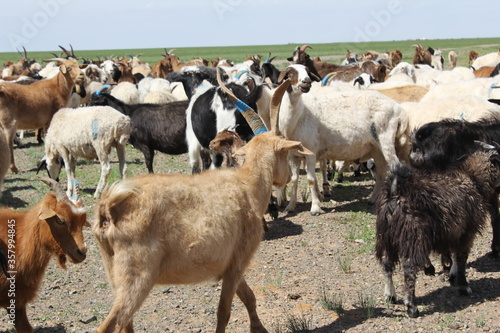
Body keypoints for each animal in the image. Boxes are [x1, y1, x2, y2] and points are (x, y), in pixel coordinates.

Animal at [89, 78, 308, 332]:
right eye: (284, 152)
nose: (286, 178)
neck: (248, 184)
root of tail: (108, 208)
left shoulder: (230, 264)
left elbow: (249, 297)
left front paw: (259, 328)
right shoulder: (239, 260)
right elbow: (224, 311)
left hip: (114, 273)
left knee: (125, 323)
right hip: (137, 276)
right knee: (111, 324)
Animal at [376, 144, 500, 318]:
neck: (473, 179)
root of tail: (396, 192)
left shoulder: (455, 231)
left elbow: (455, 255)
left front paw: (453, 276)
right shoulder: (467, 232)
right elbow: (462, 258)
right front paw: (464, 286)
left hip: (388, 237)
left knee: (387, 264)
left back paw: (390, 295)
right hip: (413, 237)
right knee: (409, 269)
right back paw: (411, 306)